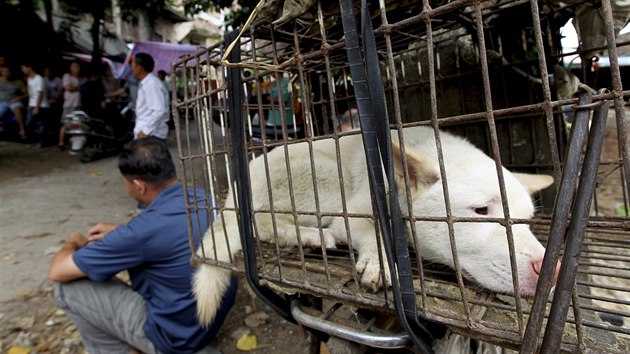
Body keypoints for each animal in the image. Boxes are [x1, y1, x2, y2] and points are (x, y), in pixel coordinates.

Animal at [193, 124, 556, 326]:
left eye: (525, 221)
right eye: (481, 210)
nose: (548, 270)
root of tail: (239, 183)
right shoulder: (352, 213)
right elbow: (372, 231)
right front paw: (381, 260)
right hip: (324, 178)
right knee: (261, 223)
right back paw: (311, 236)